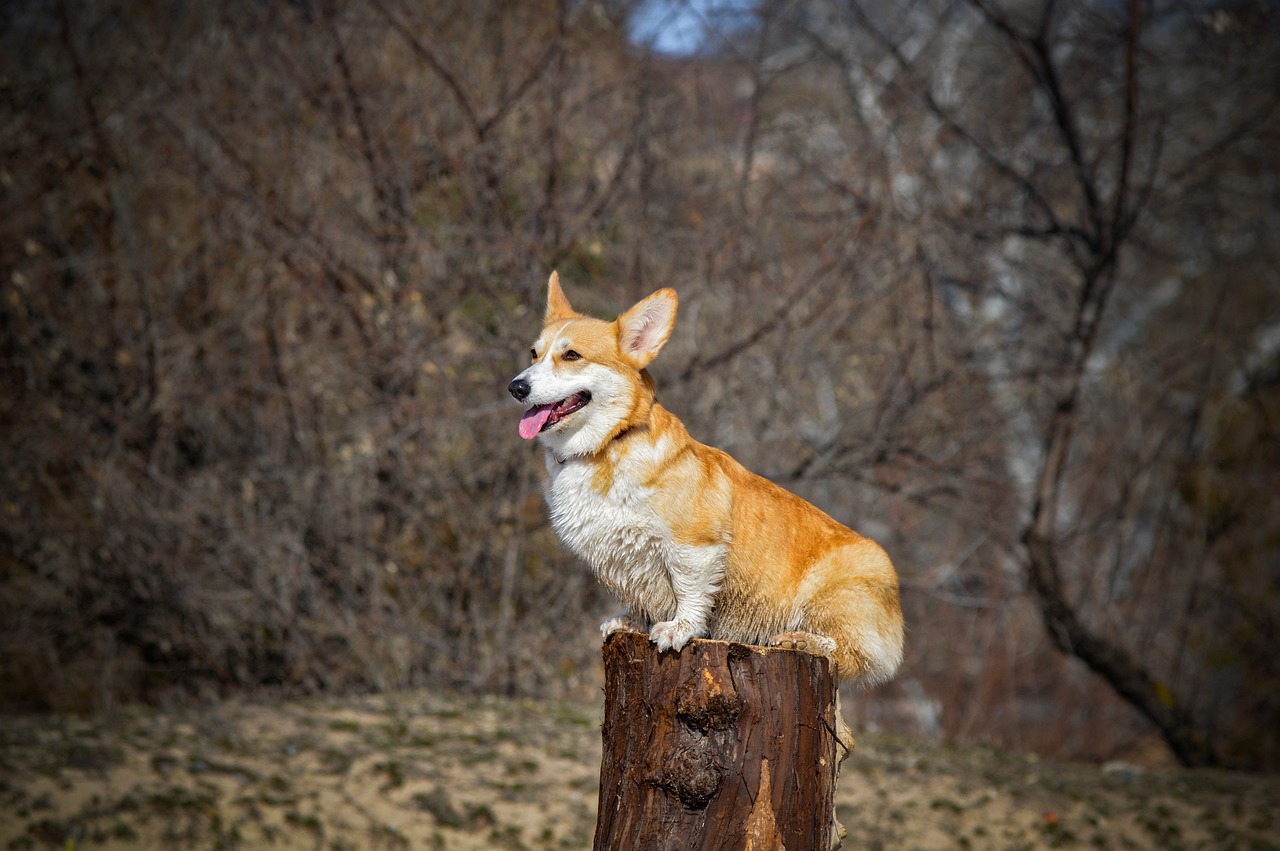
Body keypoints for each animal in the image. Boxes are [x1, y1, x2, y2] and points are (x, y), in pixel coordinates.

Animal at [504, 272, 906, 691]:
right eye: (533, 353)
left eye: (572, 355)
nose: (516, 387)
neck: (607, 444)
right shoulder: (621, 558)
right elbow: (639, 596)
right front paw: (631, 621)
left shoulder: (694, 544)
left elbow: (689, 591)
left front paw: (678, 629)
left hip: (836, 597)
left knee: (848, 653)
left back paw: (802, 639)